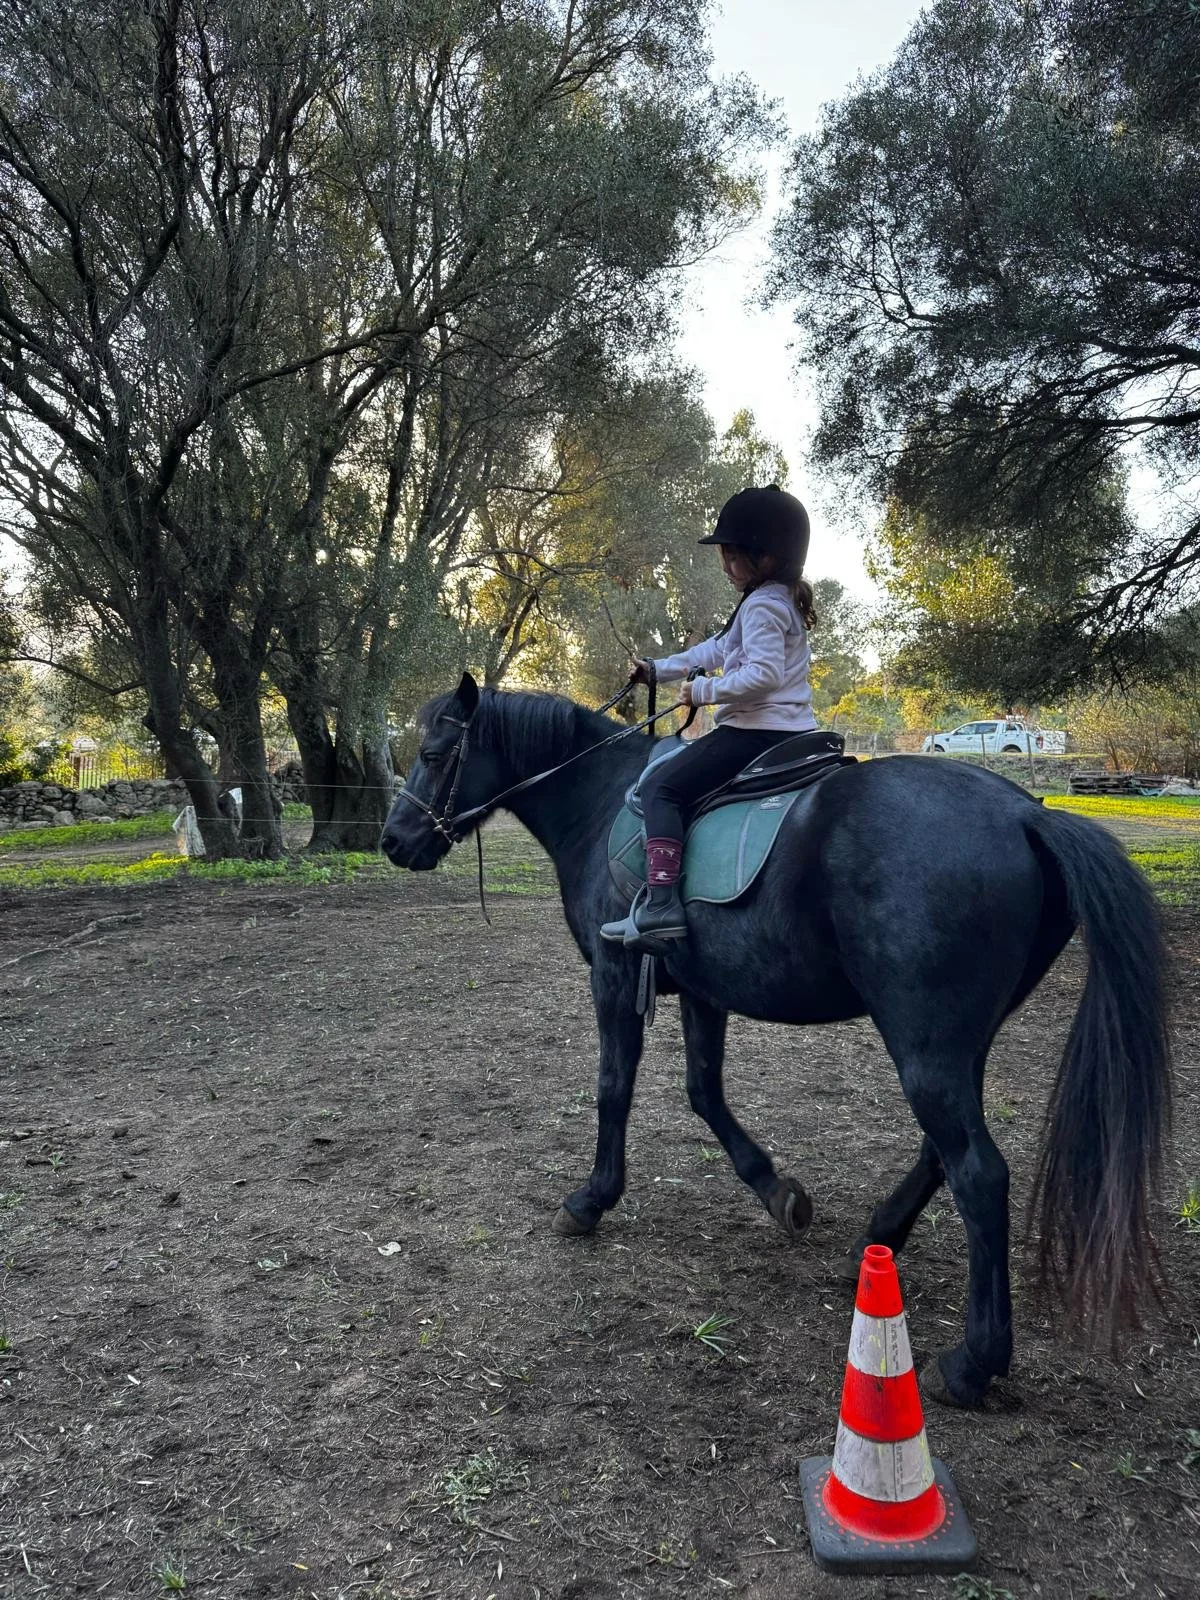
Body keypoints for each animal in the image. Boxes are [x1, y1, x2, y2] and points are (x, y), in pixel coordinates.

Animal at [379, 672, 1171, 1408]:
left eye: (433, 753)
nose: (392, 840)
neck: (599, 800)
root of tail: (1027, 813)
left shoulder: (613, 975)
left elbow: (613, 1088)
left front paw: (592, 1199)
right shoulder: (702, 991)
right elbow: (704, 1091)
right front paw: (775, 1190)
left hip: (925, 1042)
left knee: (978, 1172)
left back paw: (972, 1363)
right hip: (953, 1042)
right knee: (941, 1151)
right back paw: (877, 1238)